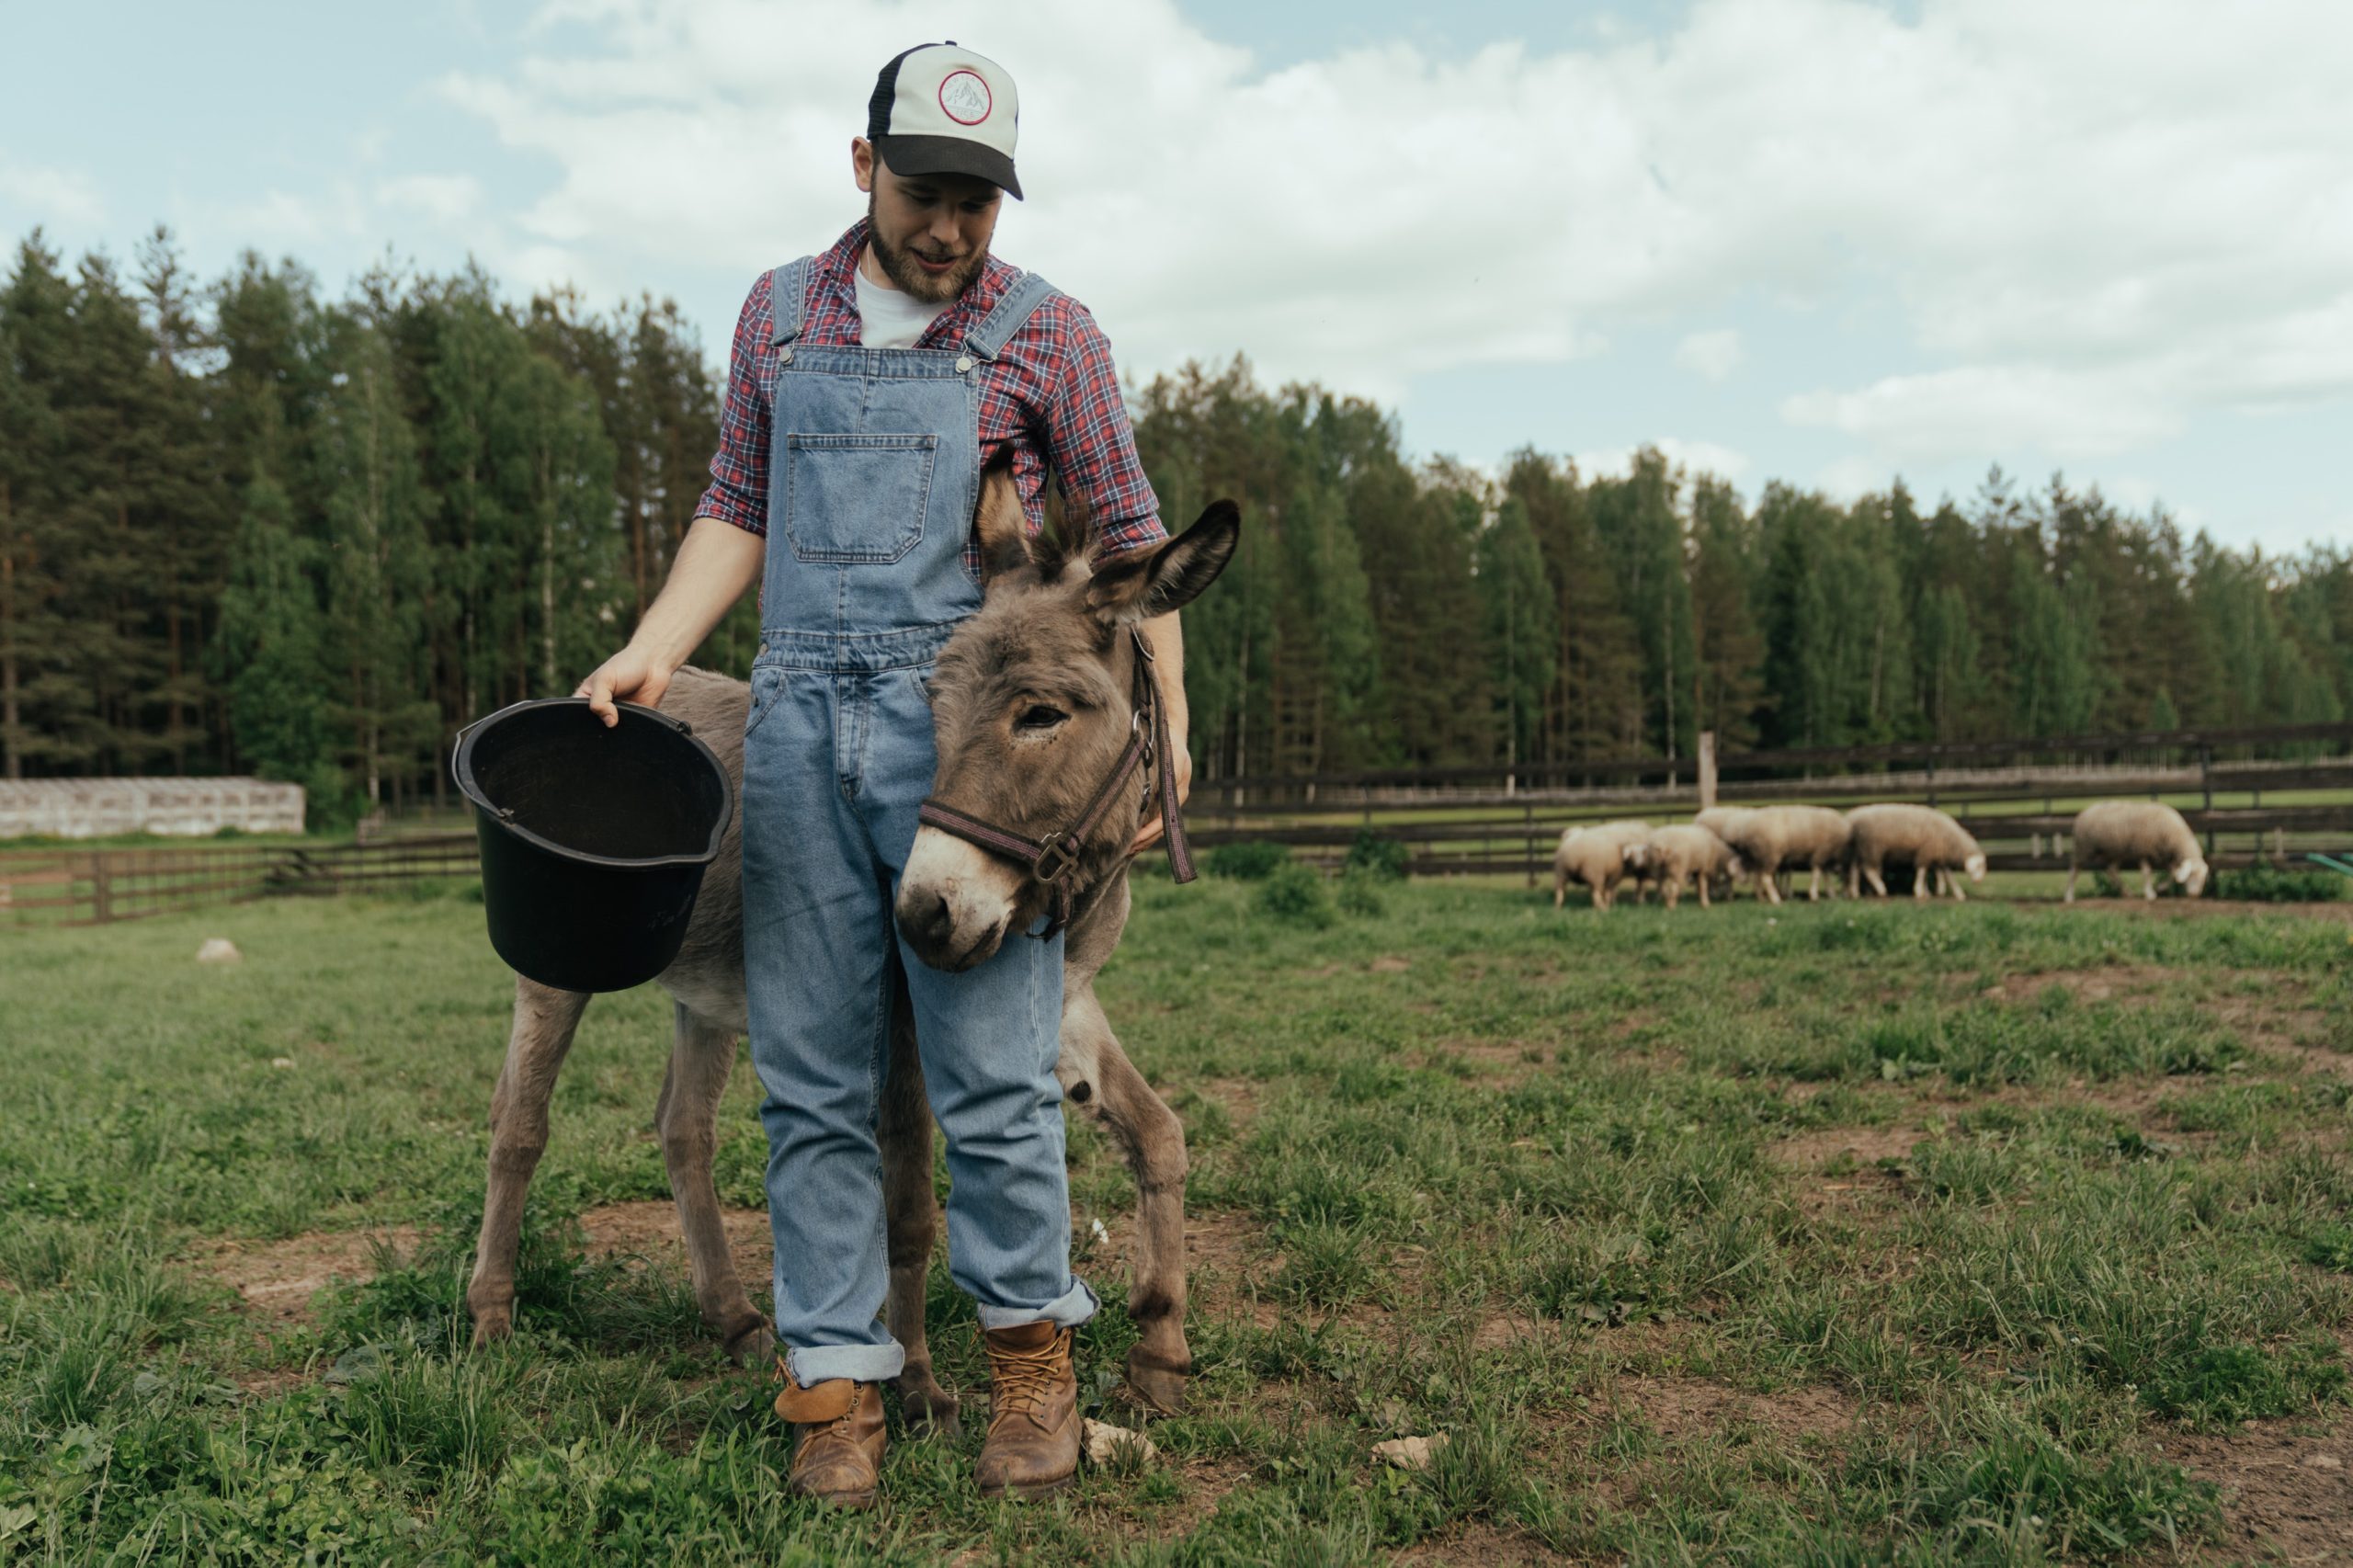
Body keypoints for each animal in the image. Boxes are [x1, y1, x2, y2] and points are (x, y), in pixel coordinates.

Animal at [1703, 800, 1845, 899]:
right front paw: (1814, 894)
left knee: (1754, 875)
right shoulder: (1820, 853)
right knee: (1763, 877)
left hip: (1760, 855)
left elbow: (1825, 875)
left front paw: (1830, 893)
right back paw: (1774, 898)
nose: (1744, 881)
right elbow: (1817, 874)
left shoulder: (1822, 856)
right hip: (1770, 853)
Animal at [1835, 800, 1985, 899]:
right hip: (1872, 848)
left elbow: (1946, 875)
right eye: (1978, 866)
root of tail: (1851, 818)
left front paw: (1953, 893)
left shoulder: (1936, 855)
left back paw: (1855, 892)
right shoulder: (1925, 852)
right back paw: (1881, 889)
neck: (1949, 838)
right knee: (1869, 870)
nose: (1979, 882)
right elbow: (1922, 872)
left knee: (1855, 869)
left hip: (1860, 850)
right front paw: (1919, 891)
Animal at [2061, 800, 2202, 899]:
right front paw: (2150, 894)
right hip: (2083, 848)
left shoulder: (2165, 855)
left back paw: (2127, 893)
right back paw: (2069, 896)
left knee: (2111, 870)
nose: (2195, 895)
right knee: (2074, 870)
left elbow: (2173, 875)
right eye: (2193, 875)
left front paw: (2160, 888)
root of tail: (2082, 813)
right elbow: (2147, 873)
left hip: (2115, 851)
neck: (2173, 834)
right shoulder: (2143, 850)